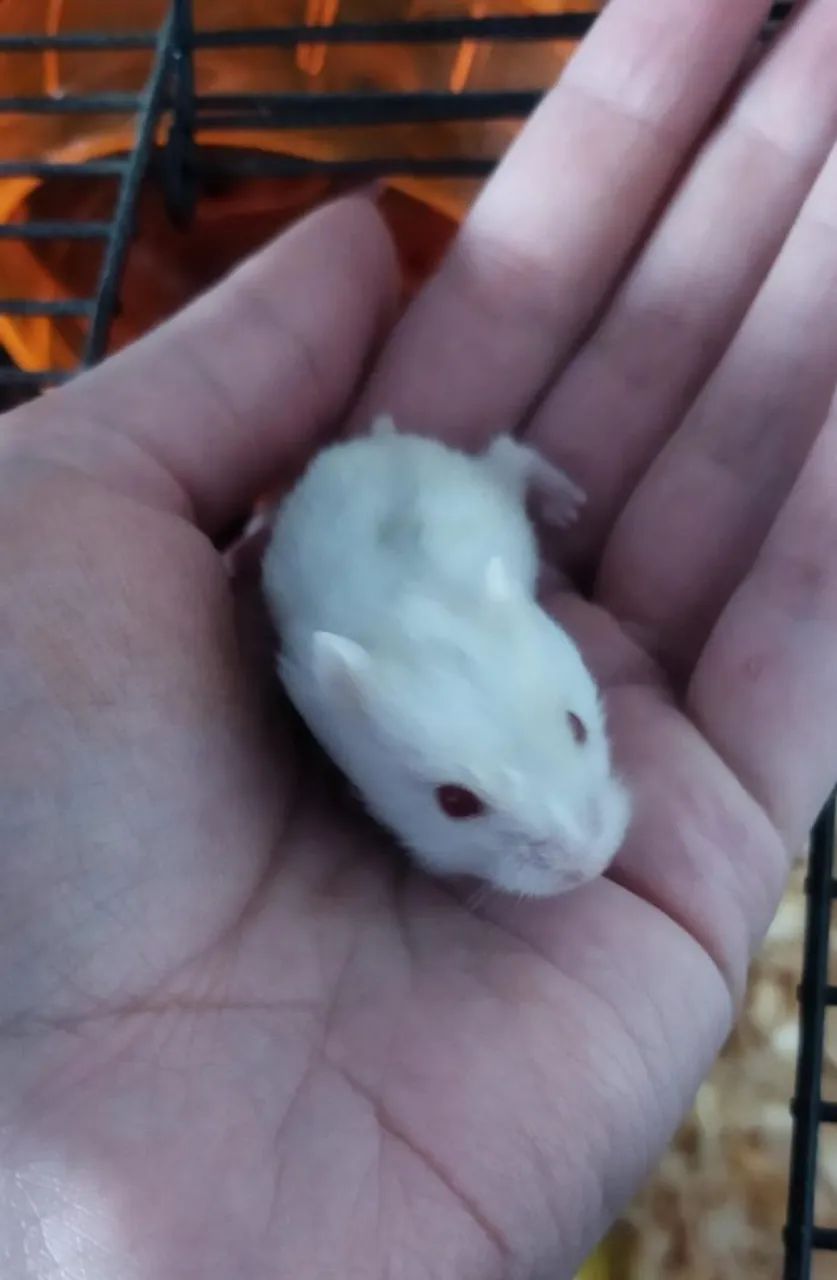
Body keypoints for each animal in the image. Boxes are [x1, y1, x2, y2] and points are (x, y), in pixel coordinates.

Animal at [261, 416, 630, 898]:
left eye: (577, 725)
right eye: (454, 802)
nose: (591, 866)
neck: (407, 616)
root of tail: (382, 440)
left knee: (510, 453)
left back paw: (568, 506)